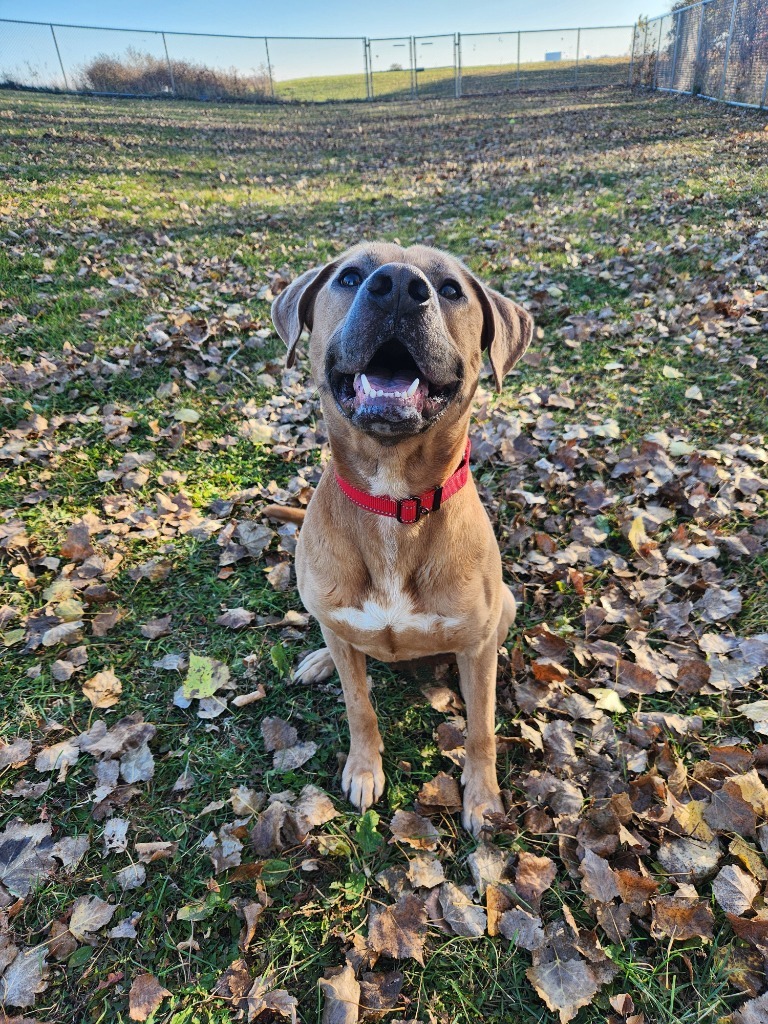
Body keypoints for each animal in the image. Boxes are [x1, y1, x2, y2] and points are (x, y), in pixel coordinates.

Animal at [272, 239, 536, 831]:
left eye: (451, 289)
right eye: (349, 277)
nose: (396, 286)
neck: (394, 503)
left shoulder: (476, 644)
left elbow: (481, 729)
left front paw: (482, 798)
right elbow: (358, 706)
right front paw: (364, 768)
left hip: (504, 607)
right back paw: (320, 659)